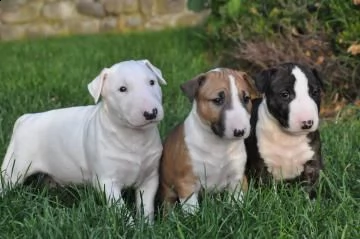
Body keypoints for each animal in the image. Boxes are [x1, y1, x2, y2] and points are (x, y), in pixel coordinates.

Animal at [0, 59, 167, 222]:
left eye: (152, 82)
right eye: (122, 89)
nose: (151, 113)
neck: (134, 137)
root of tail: (26, 118)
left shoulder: (150, 178)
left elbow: (146, 207)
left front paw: (147, 226)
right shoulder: (107, 182)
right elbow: (121, 210)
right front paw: (130, 227)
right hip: (16, 167)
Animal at [159, 68, 258, 214]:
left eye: (246, 99)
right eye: (217, 100)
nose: (240, 131)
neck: (219, 145)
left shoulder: (237, 178)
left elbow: (237, 201)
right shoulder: (187, 183)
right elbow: (191, 210)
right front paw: (193, 218)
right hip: (168, 191)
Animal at [246, 62, 324, 198]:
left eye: (315, 92)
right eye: (285, 94)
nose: (308, 123)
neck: (289, 138)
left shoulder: (312, 162)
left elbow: (310, 185)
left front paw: (310, 201)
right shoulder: (262, 166)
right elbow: (267, 189)